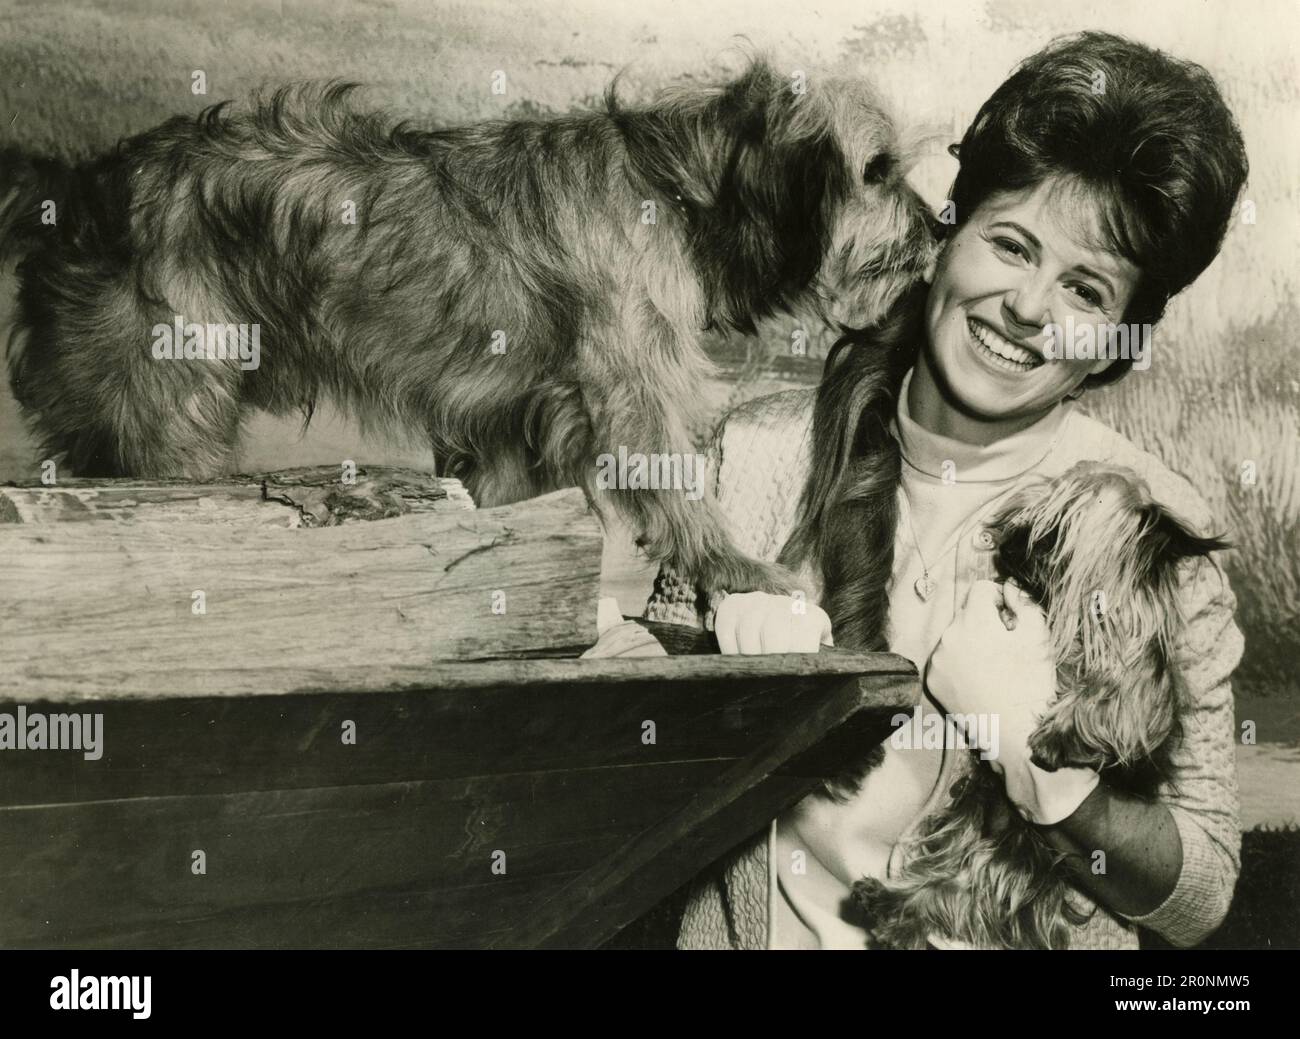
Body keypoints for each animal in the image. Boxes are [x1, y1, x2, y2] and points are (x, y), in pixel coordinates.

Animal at [0, 61, 935, 592]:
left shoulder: (507, 430)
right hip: (171, 408)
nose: (935, 224)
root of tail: (80, 186)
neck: (679, 188)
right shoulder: (633, 394)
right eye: (877, 171)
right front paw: (737, 570)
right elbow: (675, 488)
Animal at [852, 462, 1227, 951]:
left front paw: (1060, 734)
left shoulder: (1144, 687)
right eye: (1025, 518)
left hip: (1014, 856)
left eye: (1054, 534)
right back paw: (888, 904)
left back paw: (895, 911)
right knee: (954, 886)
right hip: (971, 825)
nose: (1008, 544)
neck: (1068, 617)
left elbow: (1112, 695)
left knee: (967, 893)